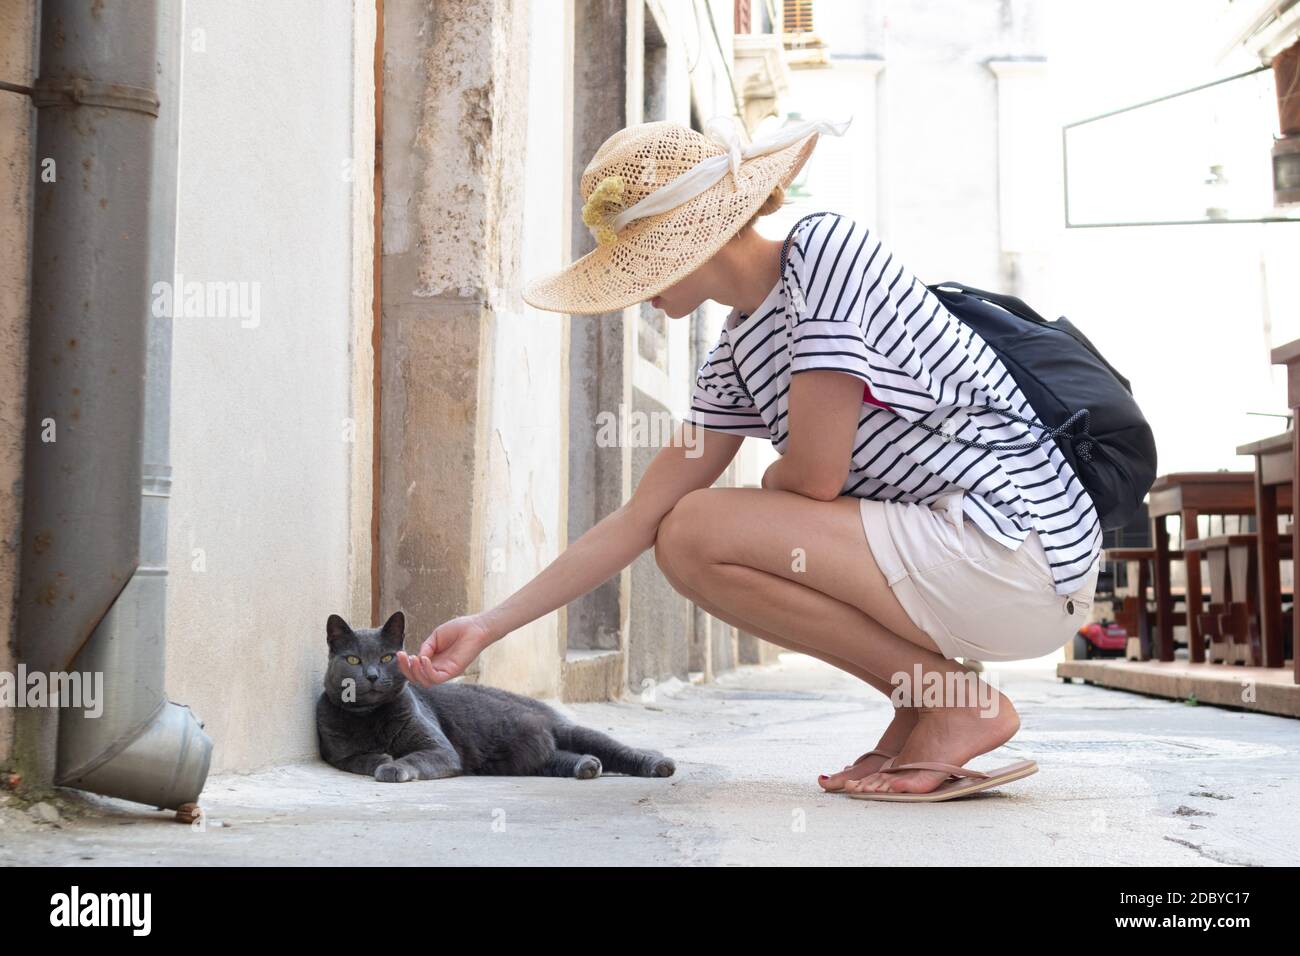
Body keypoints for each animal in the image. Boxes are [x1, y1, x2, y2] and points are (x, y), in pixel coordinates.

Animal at [318, 613, 676, 785]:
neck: (371, 717)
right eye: (353, 660)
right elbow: (356, 759)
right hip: (531, 758)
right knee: (559, 757)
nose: (372, 675)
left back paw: (658, 764)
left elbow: (415, 757)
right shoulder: (336, 753)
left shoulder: (439, 749)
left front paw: (393, 766)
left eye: (387, 657)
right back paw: (587, 766)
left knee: (618, 749)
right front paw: (380, 758)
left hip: (568, 730)